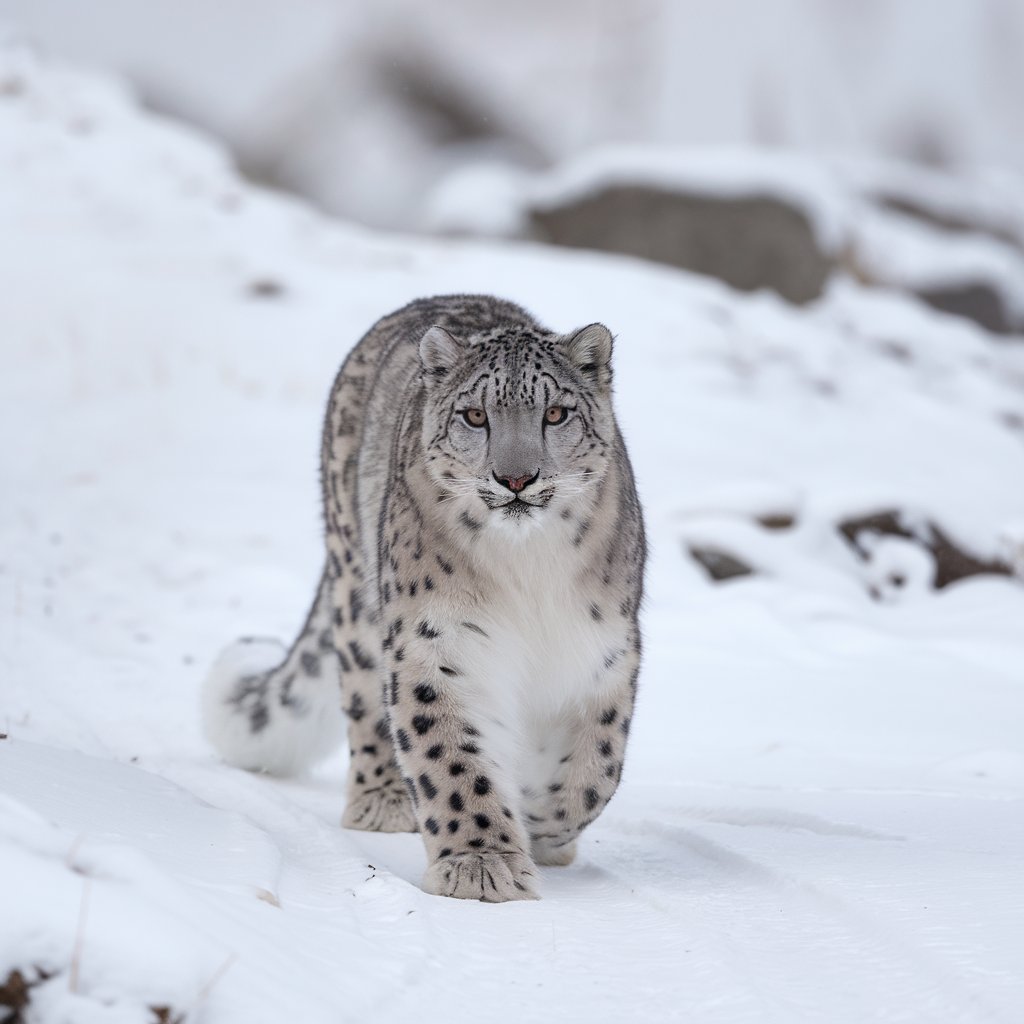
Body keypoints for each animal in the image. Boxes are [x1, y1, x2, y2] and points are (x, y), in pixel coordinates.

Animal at [202, 292, 643, 901]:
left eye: (556, 413)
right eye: (475, 415)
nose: (516, 479)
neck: (529, 568)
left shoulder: (601, 652)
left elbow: (595, 770)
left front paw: (542, 829)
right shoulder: (435, 642)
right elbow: (451, 755)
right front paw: (482, 864)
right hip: (358, 599)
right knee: (365, 700)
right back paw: (382, 800)